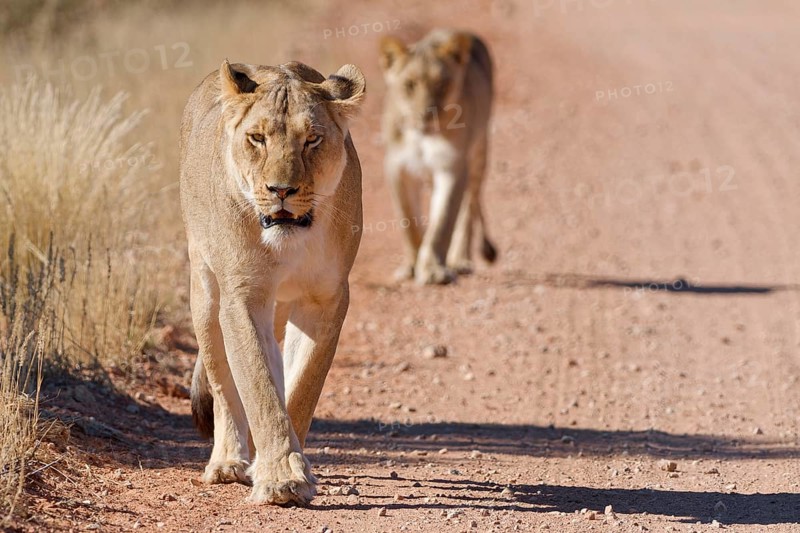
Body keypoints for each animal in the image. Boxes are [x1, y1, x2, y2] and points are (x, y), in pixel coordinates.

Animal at [179, 60, 365, 505]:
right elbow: (259, 386)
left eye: (312, 139)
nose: (281, 190)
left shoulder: (326, 299)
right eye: (257, 138)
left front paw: (284, 469)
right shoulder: (243, 297)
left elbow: (301, 387)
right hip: (206, 294)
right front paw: (282, 478)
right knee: (222, 384)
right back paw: (227, 462)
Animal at [379, 29, 497, 285]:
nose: (427, 114)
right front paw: (412, 266)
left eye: (442, 84)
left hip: (478, 153)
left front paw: (433, 270)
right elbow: (408, 221)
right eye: (409, 85)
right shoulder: (397, 168)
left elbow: (443, 221)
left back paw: (460, 260)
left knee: (467, 209)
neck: (422, 137)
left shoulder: (452, 166)